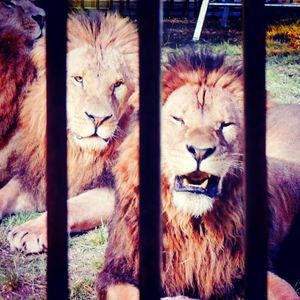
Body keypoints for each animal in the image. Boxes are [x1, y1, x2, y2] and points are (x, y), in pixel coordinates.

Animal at [96, 50, 300, 298]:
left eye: (225, 125)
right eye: (179, 120)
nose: (200, 151)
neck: (193, 226)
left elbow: (286, 291)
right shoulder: (117, 271)